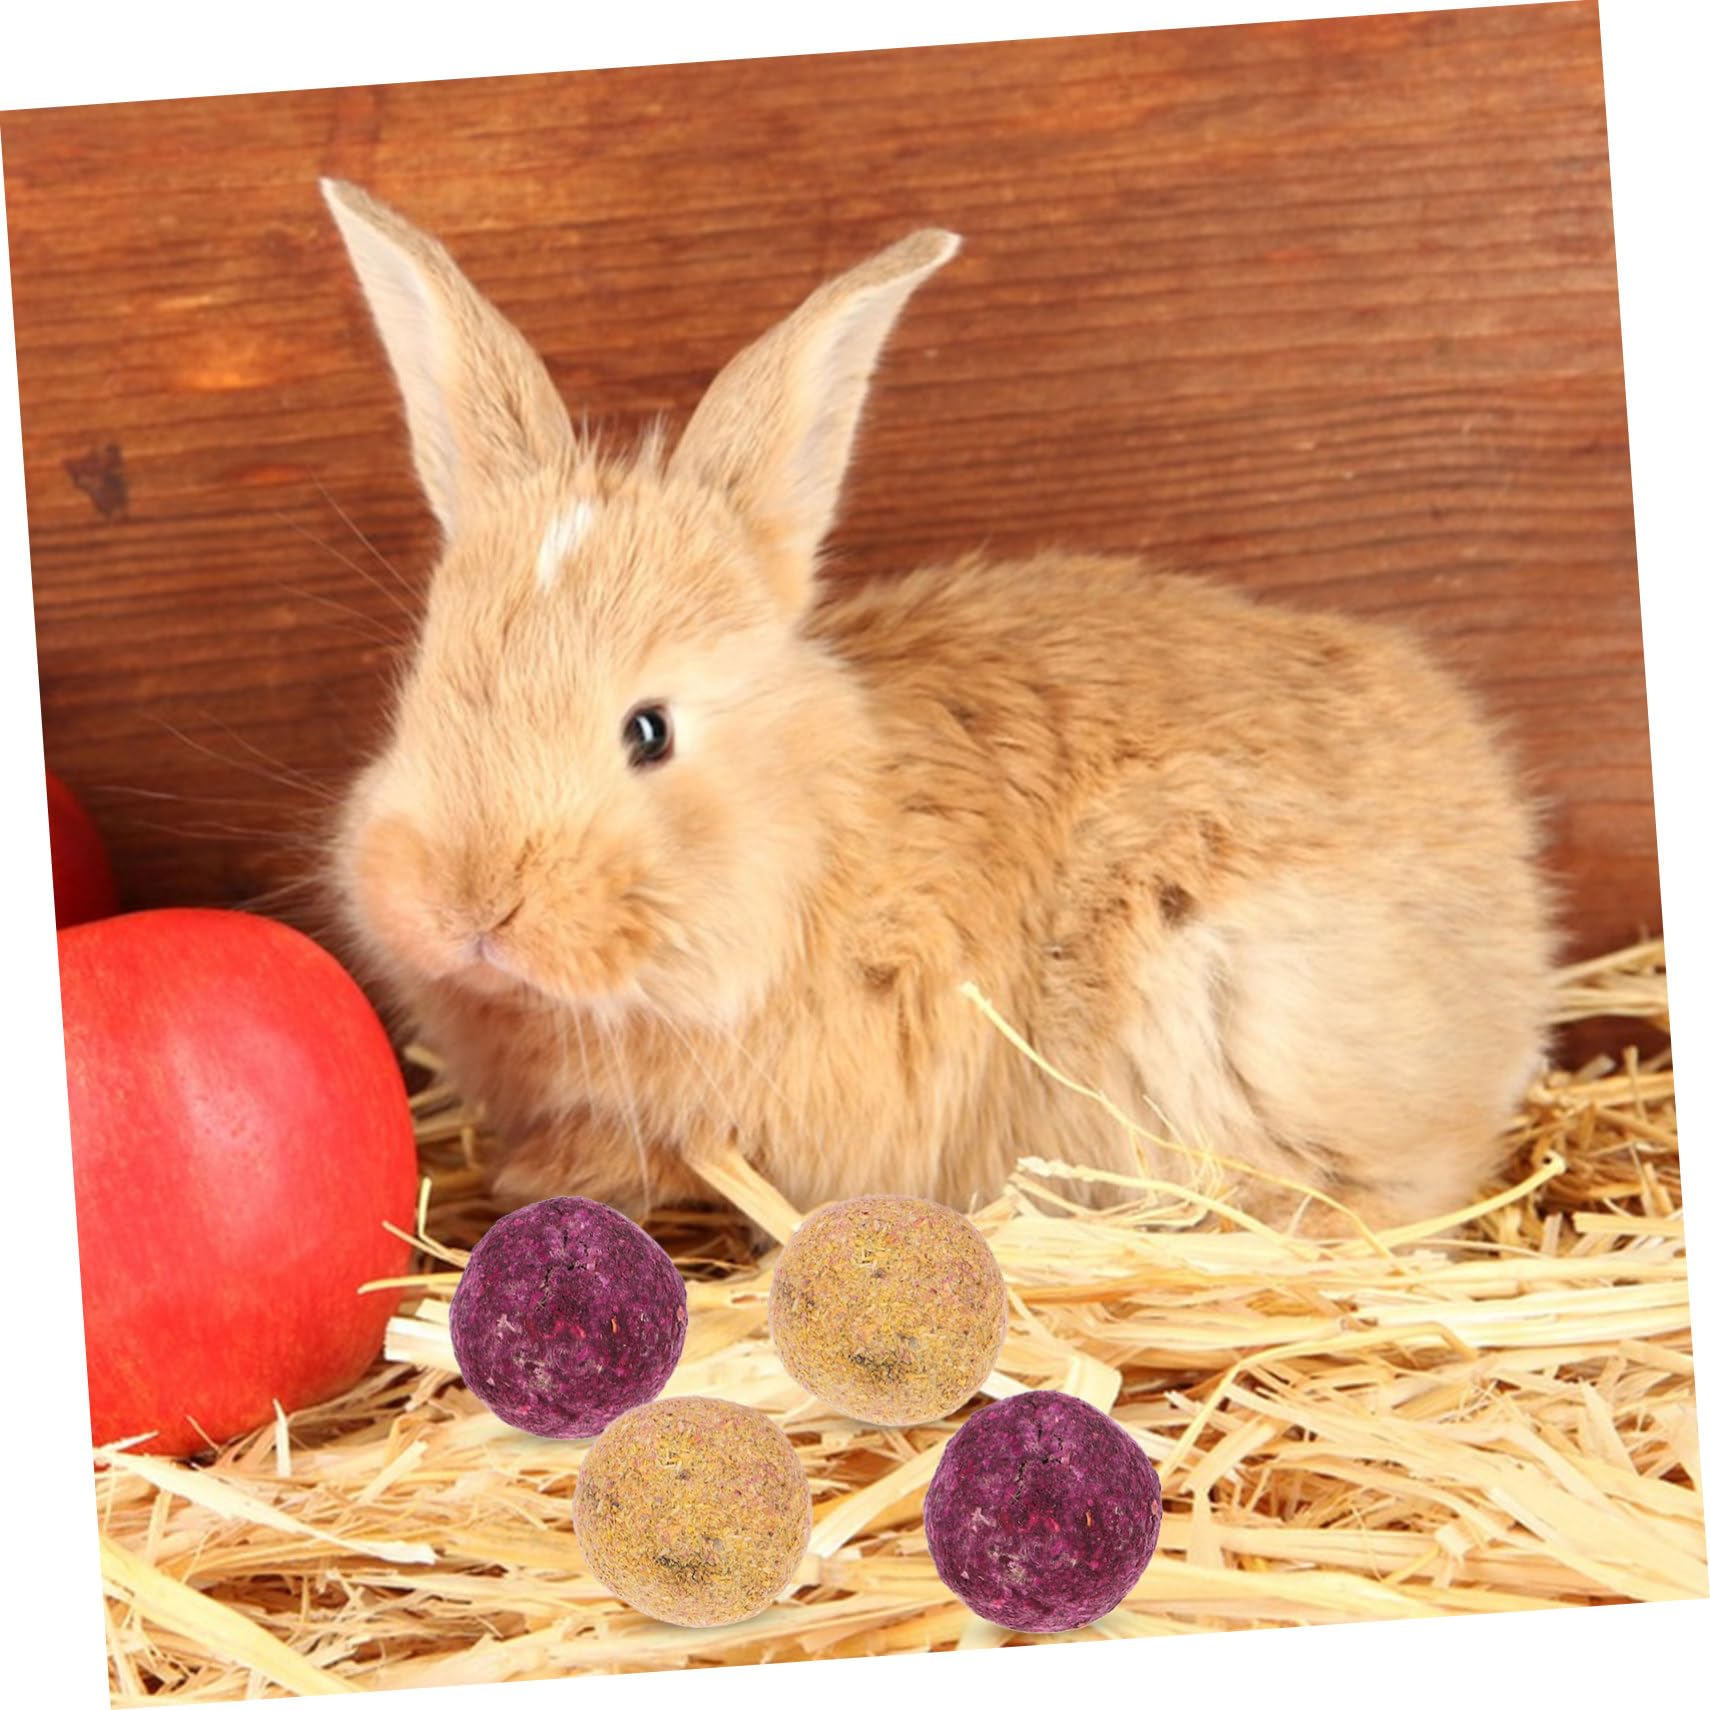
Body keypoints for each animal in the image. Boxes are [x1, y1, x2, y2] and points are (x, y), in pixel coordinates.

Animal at [320, 178, 1556, 1236]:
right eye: (423, 685)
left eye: (649, 731)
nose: (467, 909)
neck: (818, 854)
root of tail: (1517, 949)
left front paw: (541, 1177)